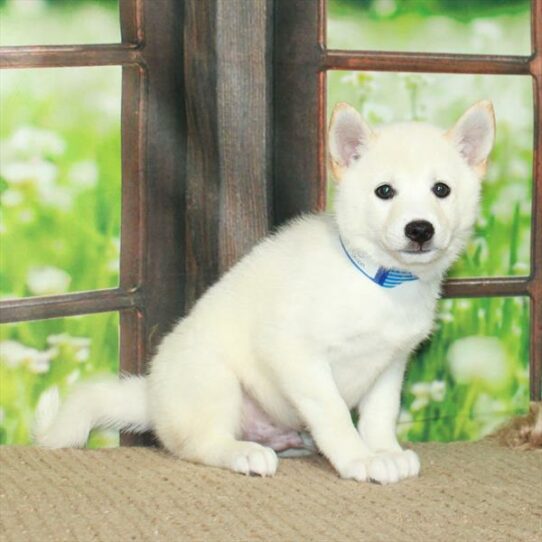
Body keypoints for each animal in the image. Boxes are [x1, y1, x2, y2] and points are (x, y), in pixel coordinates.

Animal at [36, 101, 498, 484]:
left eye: (441, 190)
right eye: (385, 191)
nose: (420, 229)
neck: (376, 280)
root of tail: (151, 397)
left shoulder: (390, 365)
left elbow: (379, 417)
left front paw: (384, 451)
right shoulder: (295, 353)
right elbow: (335, 414)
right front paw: (358, 459)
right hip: (214, 379)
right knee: (198, 444)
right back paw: (242, 452)